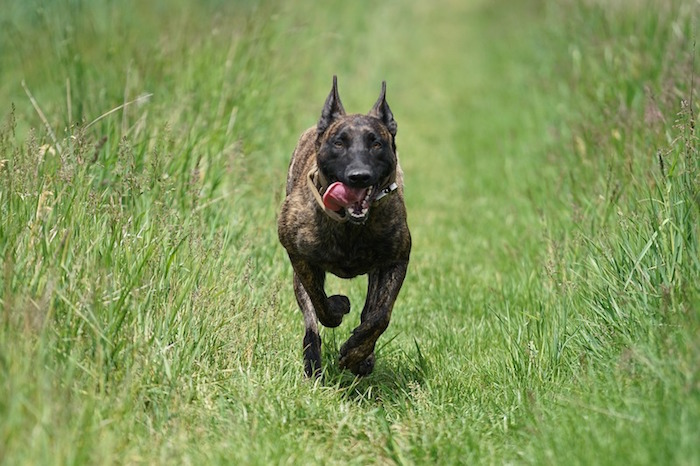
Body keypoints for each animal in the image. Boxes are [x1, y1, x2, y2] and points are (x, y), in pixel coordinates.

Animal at [278, 74, 410, 376]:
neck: (350, 225)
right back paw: (313, 363)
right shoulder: (299, 256)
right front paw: (338, 306)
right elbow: (319, 304)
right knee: (311, 320)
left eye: (376, 143)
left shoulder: (396, 259)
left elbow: (380, 315)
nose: (359, 176)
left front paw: (356, 353)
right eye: (339, 143)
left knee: (370, 309)